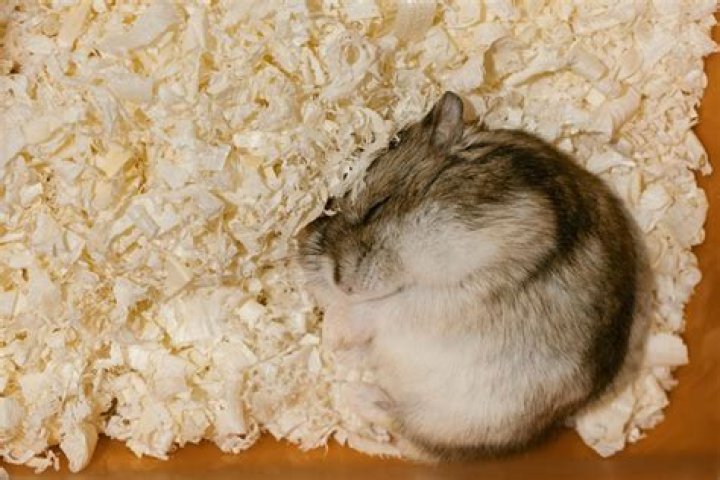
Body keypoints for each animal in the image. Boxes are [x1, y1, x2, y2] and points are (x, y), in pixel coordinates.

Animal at [296, 91, 651, 461]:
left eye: (378, 206)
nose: (340, 281)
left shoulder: (472, 282)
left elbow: (392, 307)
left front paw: (331, 333)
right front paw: (331, 333)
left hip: (460, 418)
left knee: (409, 429)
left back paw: (355, 393)